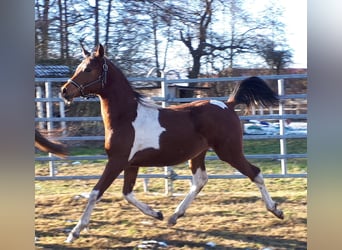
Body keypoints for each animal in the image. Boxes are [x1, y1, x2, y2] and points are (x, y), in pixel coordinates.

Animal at [60, 44, 284, 243]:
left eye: (88, 69)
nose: (64, 91)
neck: (126, 117)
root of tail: (227, 105)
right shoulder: (131, 164)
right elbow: (127, 194)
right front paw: (157, 213)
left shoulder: (117, 161)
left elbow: (95, 193)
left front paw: (74, 233)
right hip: (198, 154)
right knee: (200, 180)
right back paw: (174, 216)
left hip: (229, 151)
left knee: (255, 173)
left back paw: (276, 210)